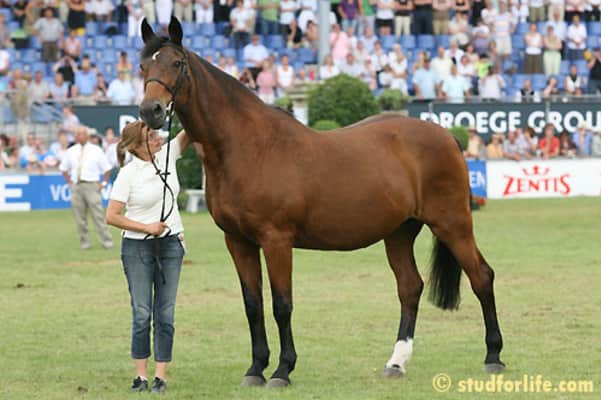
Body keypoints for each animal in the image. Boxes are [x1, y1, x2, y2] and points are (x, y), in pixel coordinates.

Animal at [138, 17, 505, 388]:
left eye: (177, 63)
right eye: (143, 66)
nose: (150, 111)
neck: (249, 147)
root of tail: (447, 136)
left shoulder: (276, 240)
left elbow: (281, 304)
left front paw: (282, 370)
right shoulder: (238, 241)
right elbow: (252, 304)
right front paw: (255, 369)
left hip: (452, 224)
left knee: (481, 277)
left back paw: (493, 356)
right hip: (400, 232)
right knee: (410, 287)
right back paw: (397, 362)